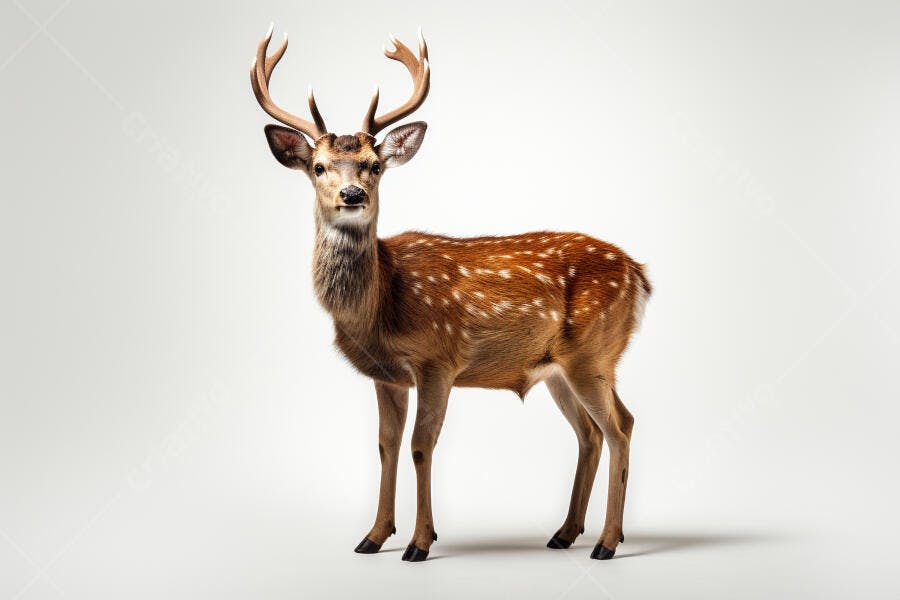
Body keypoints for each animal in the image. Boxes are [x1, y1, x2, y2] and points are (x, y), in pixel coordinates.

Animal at [250, 24, 651, 562]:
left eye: (375, 165)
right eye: (317, 166)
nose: (352, 195)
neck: (379, 305)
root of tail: (640, 275)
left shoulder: (437, 358)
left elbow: (422, 445)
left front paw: (420, 543)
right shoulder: (387, 375)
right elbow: (386, 445)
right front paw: (373, 536)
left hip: (594, 352)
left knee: (620, 427)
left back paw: (606, 542)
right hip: (558, 367)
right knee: (591, 432)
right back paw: (565, 533)